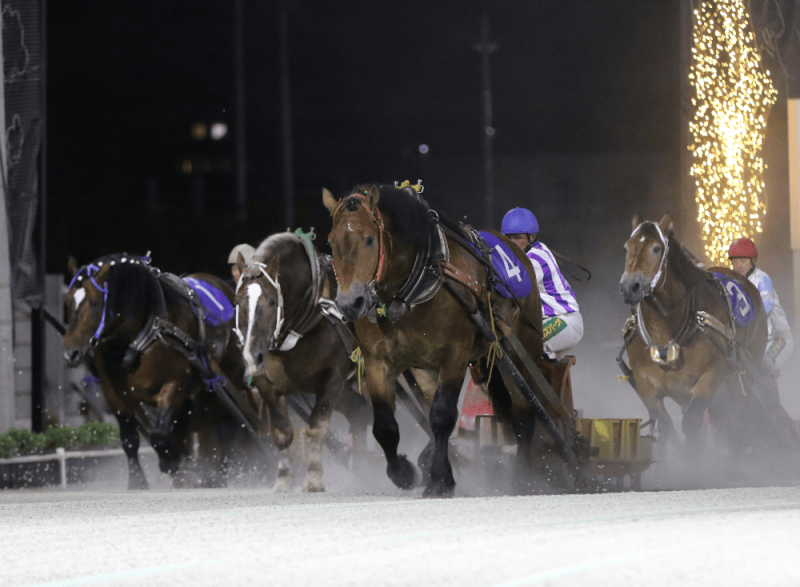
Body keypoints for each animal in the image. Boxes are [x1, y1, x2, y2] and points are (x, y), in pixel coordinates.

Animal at [63, 253, 262, 486]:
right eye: (68, 302)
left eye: (94, 303)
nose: (71, 353)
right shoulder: (115, 395)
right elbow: (130, 440)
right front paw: (138, 481)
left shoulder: (174, 384)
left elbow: (159, 434)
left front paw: (170, 460)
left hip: (234, 375)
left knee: (240, 417)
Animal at [230, 232, 370, 494]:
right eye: (237, 302)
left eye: (272, 302)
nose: (253, 355)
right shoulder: (267, 384)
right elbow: (282, 432)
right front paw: (283, 479)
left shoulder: (333, 379)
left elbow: (316, 427)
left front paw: (314, 477)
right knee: (359, 411)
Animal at [322, 184, 548, 496]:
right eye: (331, 242)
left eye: (369, 239)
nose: (349, 303)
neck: (412, 289)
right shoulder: (378, 361)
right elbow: (385, 425)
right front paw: (404, 472)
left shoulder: (454, 355)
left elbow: (442, 416)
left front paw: (440, 479)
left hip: (522, 350)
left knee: (525, 417)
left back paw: (523, 479)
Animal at [620, 214, 768, 462]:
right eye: (626, 247)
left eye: (656, 248)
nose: (630, 287)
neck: (666, 335)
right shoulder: (645, 384)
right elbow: (665, 424)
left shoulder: (709, 379)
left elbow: (692, 425)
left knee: (739, 414)